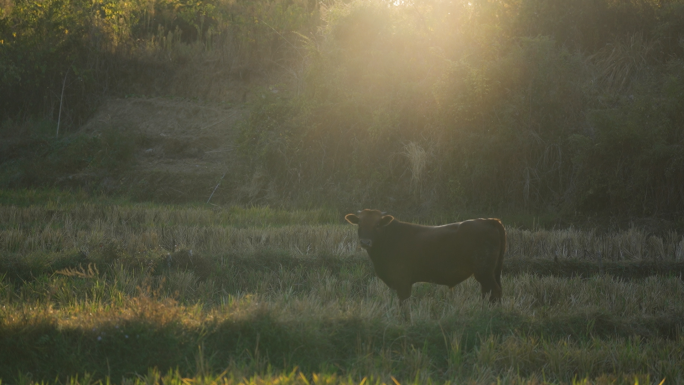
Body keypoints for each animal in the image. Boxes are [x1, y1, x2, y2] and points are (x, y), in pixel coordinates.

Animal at [344, 210, 504, 316]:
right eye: (359, 223)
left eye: (377, 224)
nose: (365, 242)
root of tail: (490, 220)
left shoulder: (403, 282)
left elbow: (403, 304)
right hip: (490, 273)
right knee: (488, 292)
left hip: (484, 272)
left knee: (494, 290)